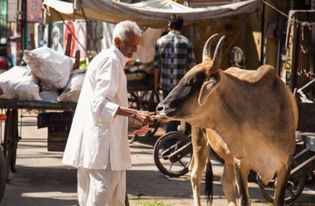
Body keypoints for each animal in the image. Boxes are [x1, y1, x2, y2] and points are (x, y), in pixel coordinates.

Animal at [157, 34, 300, 205]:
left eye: (192, 81)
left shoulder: (285, 165)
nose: (160, 107)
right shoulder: (241, 163)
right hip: (199, 141)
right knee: (195, 174)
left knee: (225, 182)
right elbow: (245, 200)